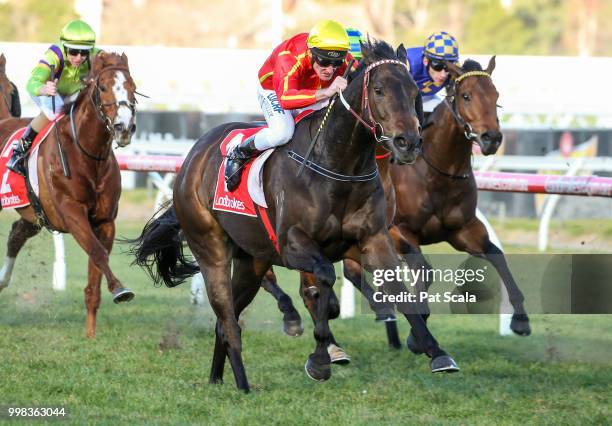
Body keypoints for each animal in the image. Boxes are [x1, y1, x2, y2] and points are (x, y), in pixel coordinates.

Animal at [0, 51, 137, 336]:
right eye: (103, 87)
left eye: (133, 87)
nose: (124, 127)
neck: (88, 153)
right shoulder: (72, 213)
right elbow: (97, 252)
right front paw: (120, 289)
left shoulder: (104, 221)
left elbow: (97, 265)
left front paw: (90, 334)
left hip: (34, 214)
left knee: (16, 234)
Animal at [133, 40, 460, 392]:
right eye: (379, 89)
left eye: (414, 91)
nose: (408, 142)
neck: (337, 165)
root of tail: (192, 157)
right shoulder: (293, 245)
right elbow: (325, 280)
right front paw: (320, 359)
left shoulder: (373, 240)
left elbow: (397, 288)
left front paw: (435, 351)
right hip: (211, 250)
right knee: (228, 319)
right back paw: (244, 386)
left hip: (252, 261)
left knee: (226, 320)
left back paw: (218, 378)